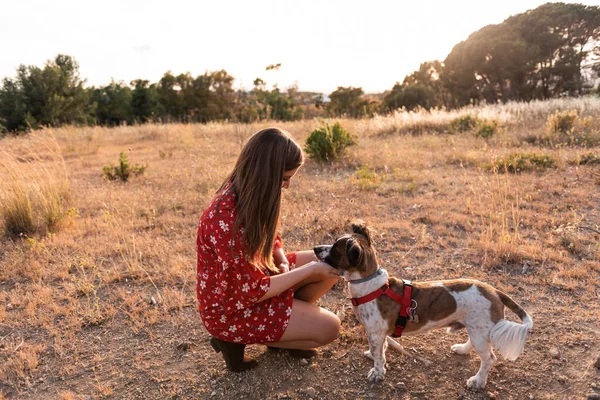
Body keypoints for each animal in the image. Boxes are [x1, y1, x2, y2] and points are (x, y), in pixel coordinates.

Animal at [316, 220, 532, 390]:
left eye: (335, 249)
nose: (315, 249)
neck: (371, 284)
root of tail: (494, 291)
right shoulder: (379, 334)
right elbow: (380, 351)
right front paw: (374, 357)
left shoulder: (375, 333)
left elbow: (379, 356)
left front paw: (377, 373)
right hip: (477, 329)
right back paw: (463, 349)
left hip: (479, 331)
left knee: (489, 359)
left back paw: (478, 381)